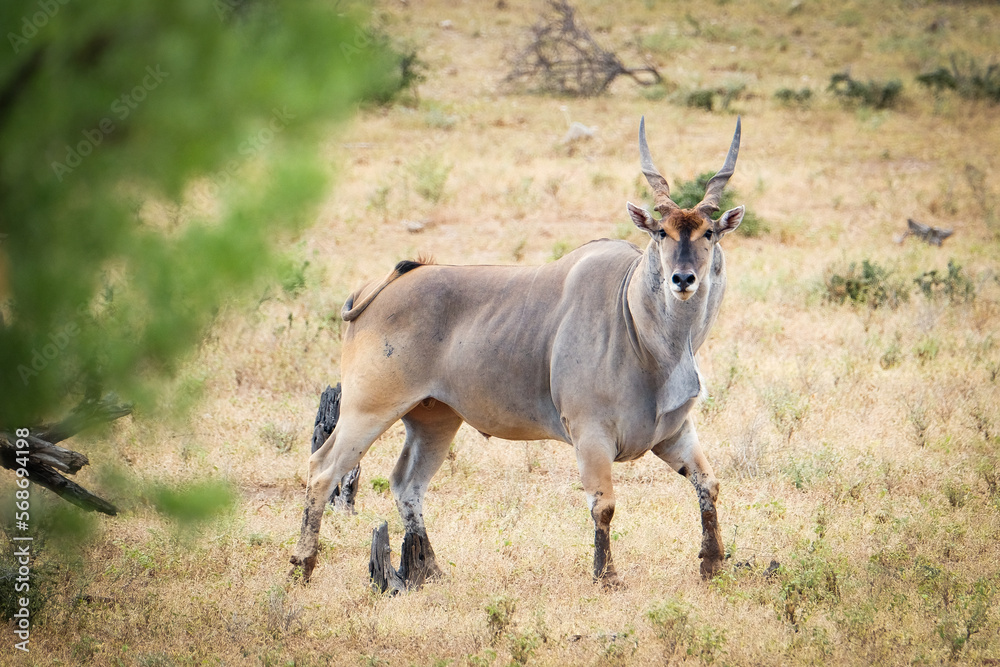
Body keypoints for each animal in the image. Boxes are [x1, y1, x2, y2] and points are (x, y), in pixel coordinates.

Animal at [290, 117, 744, 588]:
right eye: (661, 232)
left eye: (708, 233)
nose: (683, 278)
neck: (639, 328)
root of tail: (380, 284)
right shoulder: (590, 435)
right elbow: (603, 505)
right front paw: (606, 576)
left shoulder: (673, 433)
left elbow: (708, 484)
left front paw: (712, 562)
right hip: (367, 409)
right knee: (322, 469)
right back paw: (303, 564)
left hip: (435, 419)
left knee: (407, 484)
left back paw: (431, 569)